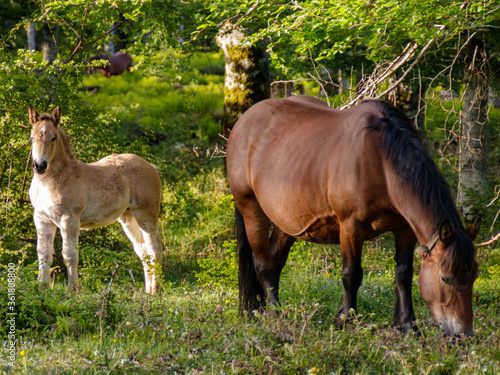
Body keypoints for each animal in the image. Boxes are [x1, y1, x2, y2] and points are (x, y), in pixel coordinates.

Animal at [28, 106, 164, 294]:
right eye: (31, 138)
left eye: (53, 137)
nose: (39, 166)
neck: (50, 182)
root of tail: (151, 166)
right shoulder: (42, 219)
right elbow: (43, 254)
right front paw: (42, 287)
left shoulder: (69, 218)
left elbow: (70, 255)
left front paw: (73, 289)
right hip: (128, 218)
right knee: (143, 252)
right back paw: (148, 291)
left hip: (146, 215)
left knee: (154, 249)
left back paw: (155, 290)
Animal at [227, 95, 480, 336]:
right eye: (446, 278)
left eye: (474, 276)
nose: (463, 334)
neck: (380, 161)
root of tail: (243, 120)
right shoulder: (350, 228)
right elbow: (351, 275)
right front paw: (345, 320)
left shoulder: (404, 229)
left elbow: (403, 274)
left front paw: (407, 325)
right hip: (251, 209)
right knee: (263, 264)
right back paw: (275, 314)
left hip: (288, 221)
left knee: (276, 258)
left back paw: (263, 309)